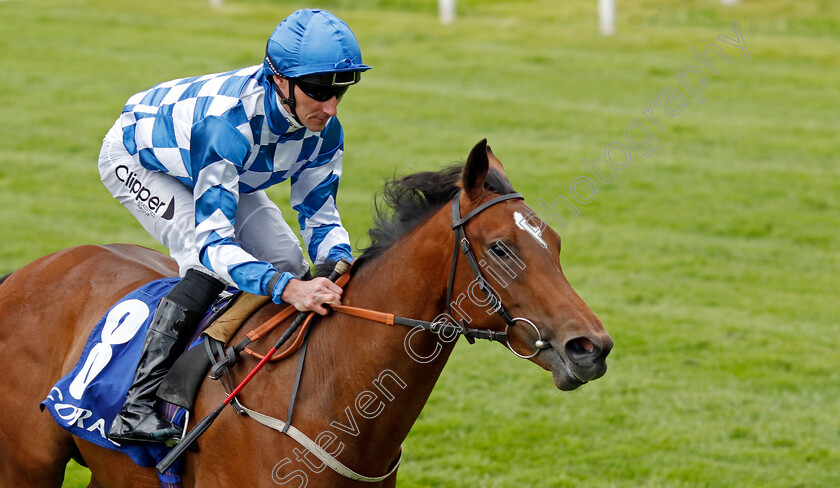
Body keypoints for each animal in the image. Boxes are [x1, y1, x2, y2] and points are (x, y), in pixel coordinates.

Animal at [0, 139, 612, 486]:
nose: (591, 348)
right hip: (26, 466)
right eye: (502, 249)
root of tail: (28, 271)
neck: (328, 393)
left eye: (556, 243)